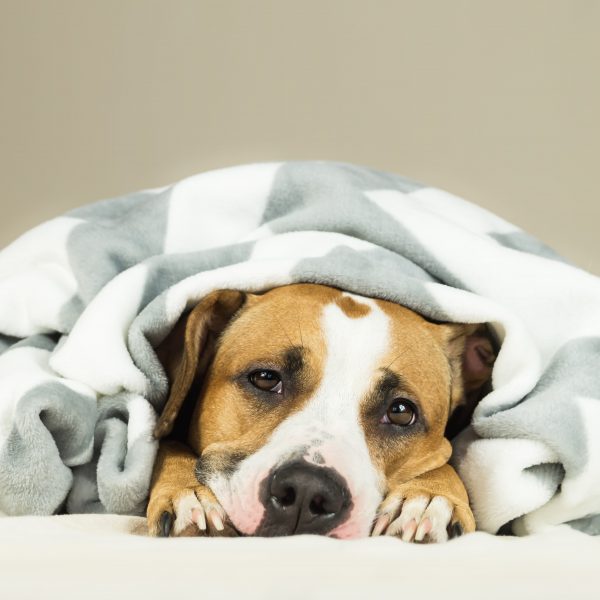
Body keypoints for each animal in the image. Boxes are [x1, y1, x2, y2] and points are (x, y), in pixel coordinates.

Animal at [146, 284, 496, 540]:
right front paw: (189, 494)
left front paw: (429, 496)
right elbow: (167, 445)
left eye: (400, 412)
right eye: (265, 378)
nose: (307, 489)